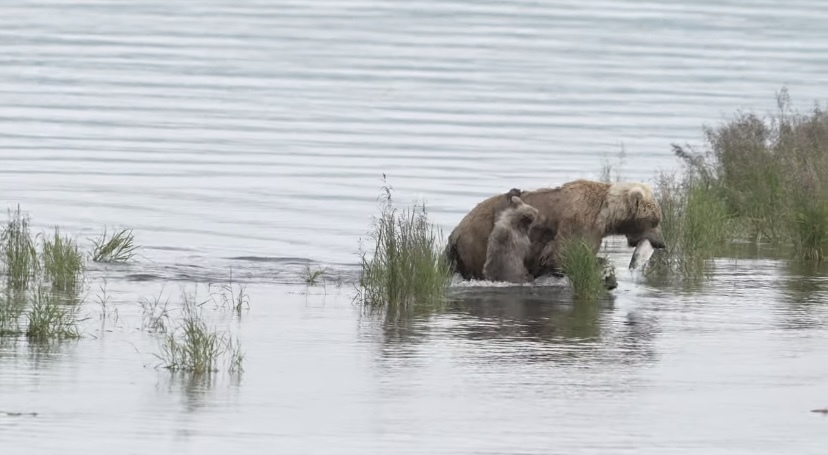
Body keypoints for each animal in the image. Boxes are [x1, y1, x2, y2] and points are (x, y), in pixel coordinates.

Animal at [446, 179, 668, 284]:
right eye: (655, 220)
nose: (662, 243)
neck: (605, 215)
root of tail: (456, 232)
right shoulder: (580, 222)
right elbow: (565, 255)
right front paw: (607, 275)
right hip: (478, 243)